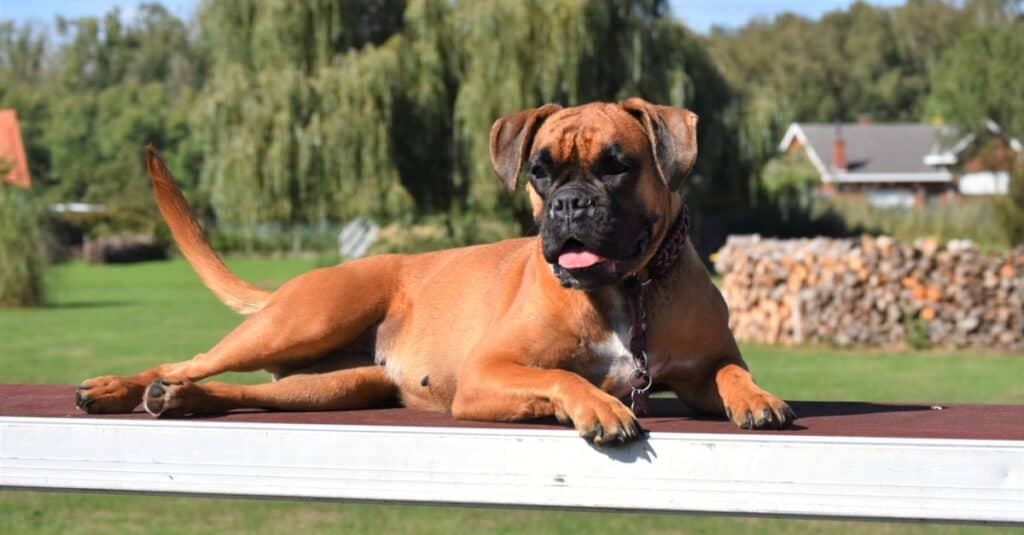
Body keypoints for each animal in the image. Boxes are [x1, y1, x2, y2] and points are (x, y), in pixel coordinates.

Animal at [77, 98, 790, 440]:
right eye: (540, 171)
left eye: (618, 165)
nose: (569, 202)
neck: (626, 290)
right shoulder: (487, 373)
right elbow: (562, 378)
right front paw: (599, 407)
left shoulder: (702, 366)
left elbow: (730, 372)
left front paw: (758, 397)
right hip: (301, 321)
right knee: (185, 360)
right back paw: (115, 388)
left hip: (332, 385)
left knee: (236, 390)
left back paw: (180, 400)